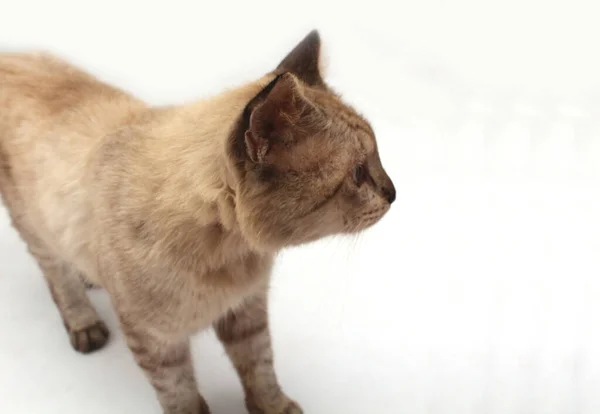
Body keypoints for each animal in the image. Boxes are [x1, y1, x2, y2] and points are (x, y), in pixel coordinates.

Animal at [1, 30, 398, 412]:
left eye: (377, 156)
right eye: (358, 174)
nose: (393, 193)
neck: (231, 251)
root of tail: (12, 55)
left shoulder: (247, 311)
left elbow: (261, 372)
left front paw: (275, 408)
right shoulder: (157, 341)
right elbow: (181, 395)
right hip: (35, 231)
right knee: (59, 279)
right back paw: (85, 325)